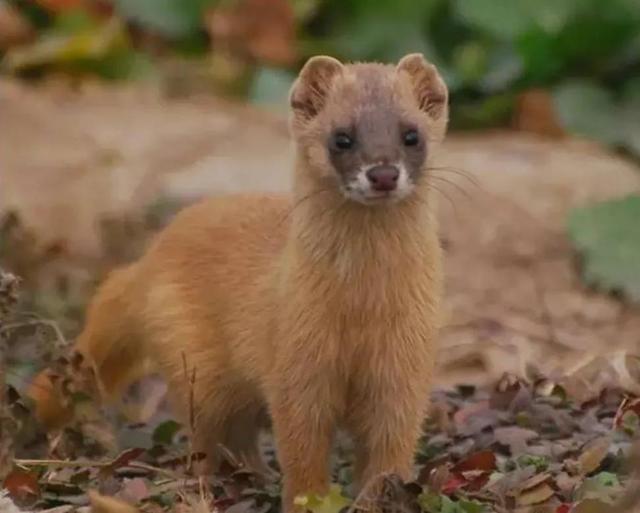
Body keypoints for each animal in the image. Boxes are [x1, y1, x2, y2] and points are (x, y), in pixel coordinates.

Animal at [31, 54, 450, 510]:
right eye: (342, 137)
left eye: (411, 134)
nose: (384, 173)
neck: (362, 311)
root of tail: (149, 256)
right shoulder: (294, 361)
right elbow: (301, 448)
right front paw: (307, 500)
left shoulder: (405, 365)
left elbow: (391, 446)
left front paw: (382, 495)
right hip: (195, 365)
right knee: (210, 434)